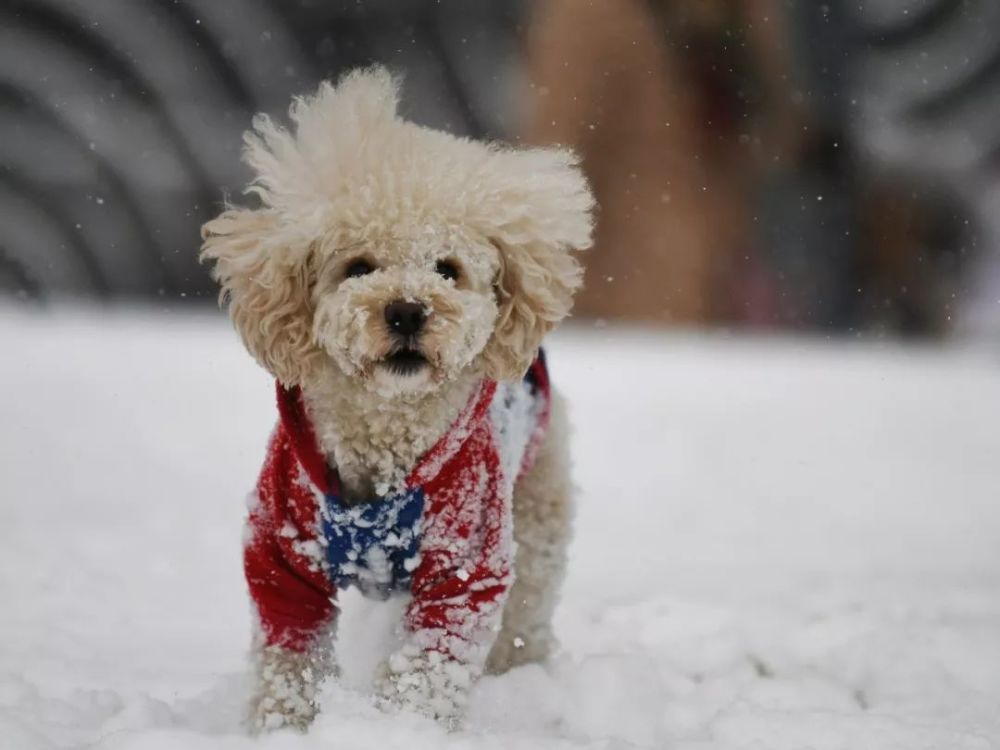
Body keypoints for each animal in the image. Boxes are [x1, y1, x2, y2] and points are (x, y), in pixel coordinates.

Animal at [199, 69, 592, 736]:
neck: (384, 440)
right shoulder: (281, 555)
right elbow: (289, 659)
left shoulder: (464, 567)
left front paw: (405, 729)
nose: (407, 310)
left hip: (538, 506)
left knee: (529, 606)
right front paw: (282, 727)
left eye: (448, 268)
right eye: (358, 266)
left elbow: (427, 669)